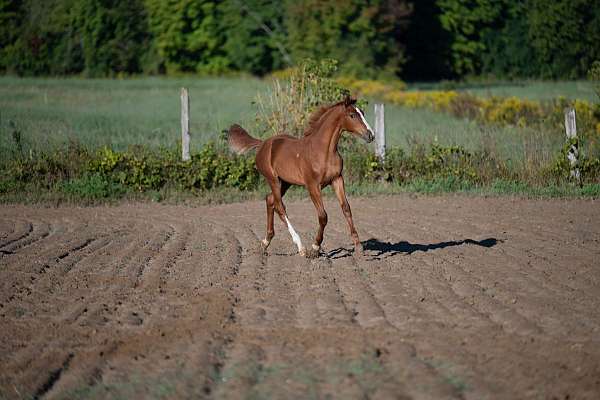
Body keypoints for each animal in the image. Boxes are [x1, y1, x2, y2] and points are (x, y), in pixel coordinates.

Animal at [227, 95, 372, 258]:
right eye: (352, 115)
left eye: (363, 113)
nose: (370, 135)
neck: (323, 150)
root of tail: (263, 143)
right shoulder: (312, 186)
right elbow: (323, 216)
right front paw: (315, 248)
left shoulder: (337, 180)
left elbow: (346, 209)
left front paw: (359, 246)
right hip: (273, 179)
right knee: (280, 206)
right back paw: (300, 247)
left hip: (285, 182)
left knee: (270, 200)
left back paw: (265, 243)